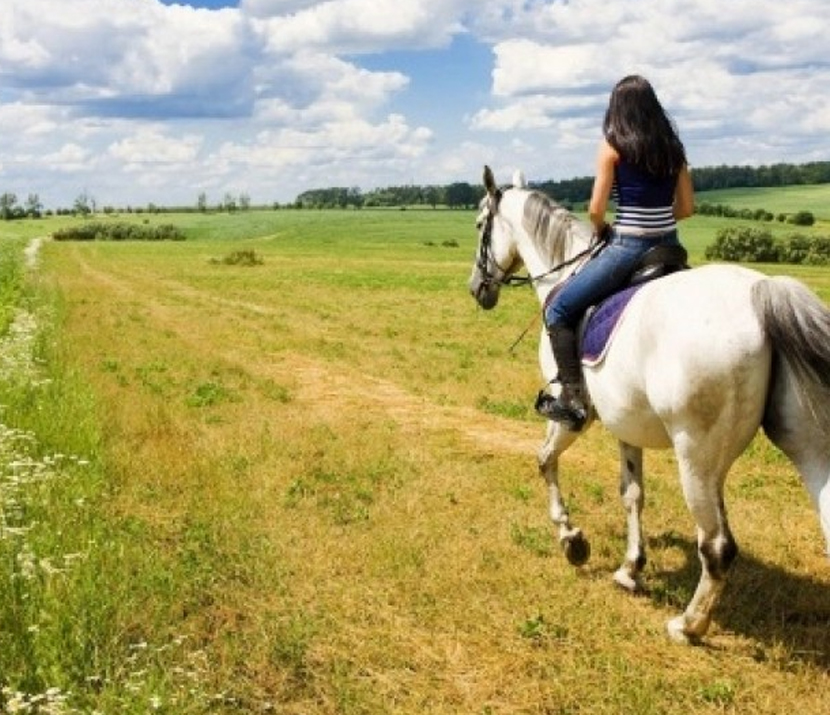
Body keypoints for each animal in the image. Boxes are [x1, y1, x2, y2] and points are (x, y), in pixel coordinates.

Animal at [468, 166, 830, 644]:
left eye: (479, 225)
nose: (477, 289)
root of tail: (760, 292)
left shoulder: (573, 414)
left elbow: (544, 460)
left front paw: (572, 540)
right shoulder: (626, 422)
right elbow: (632, 493)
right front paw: (630, 568)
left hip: (697, 455)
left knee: (717, 544)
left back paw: (689, 625)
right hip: (804, 442)